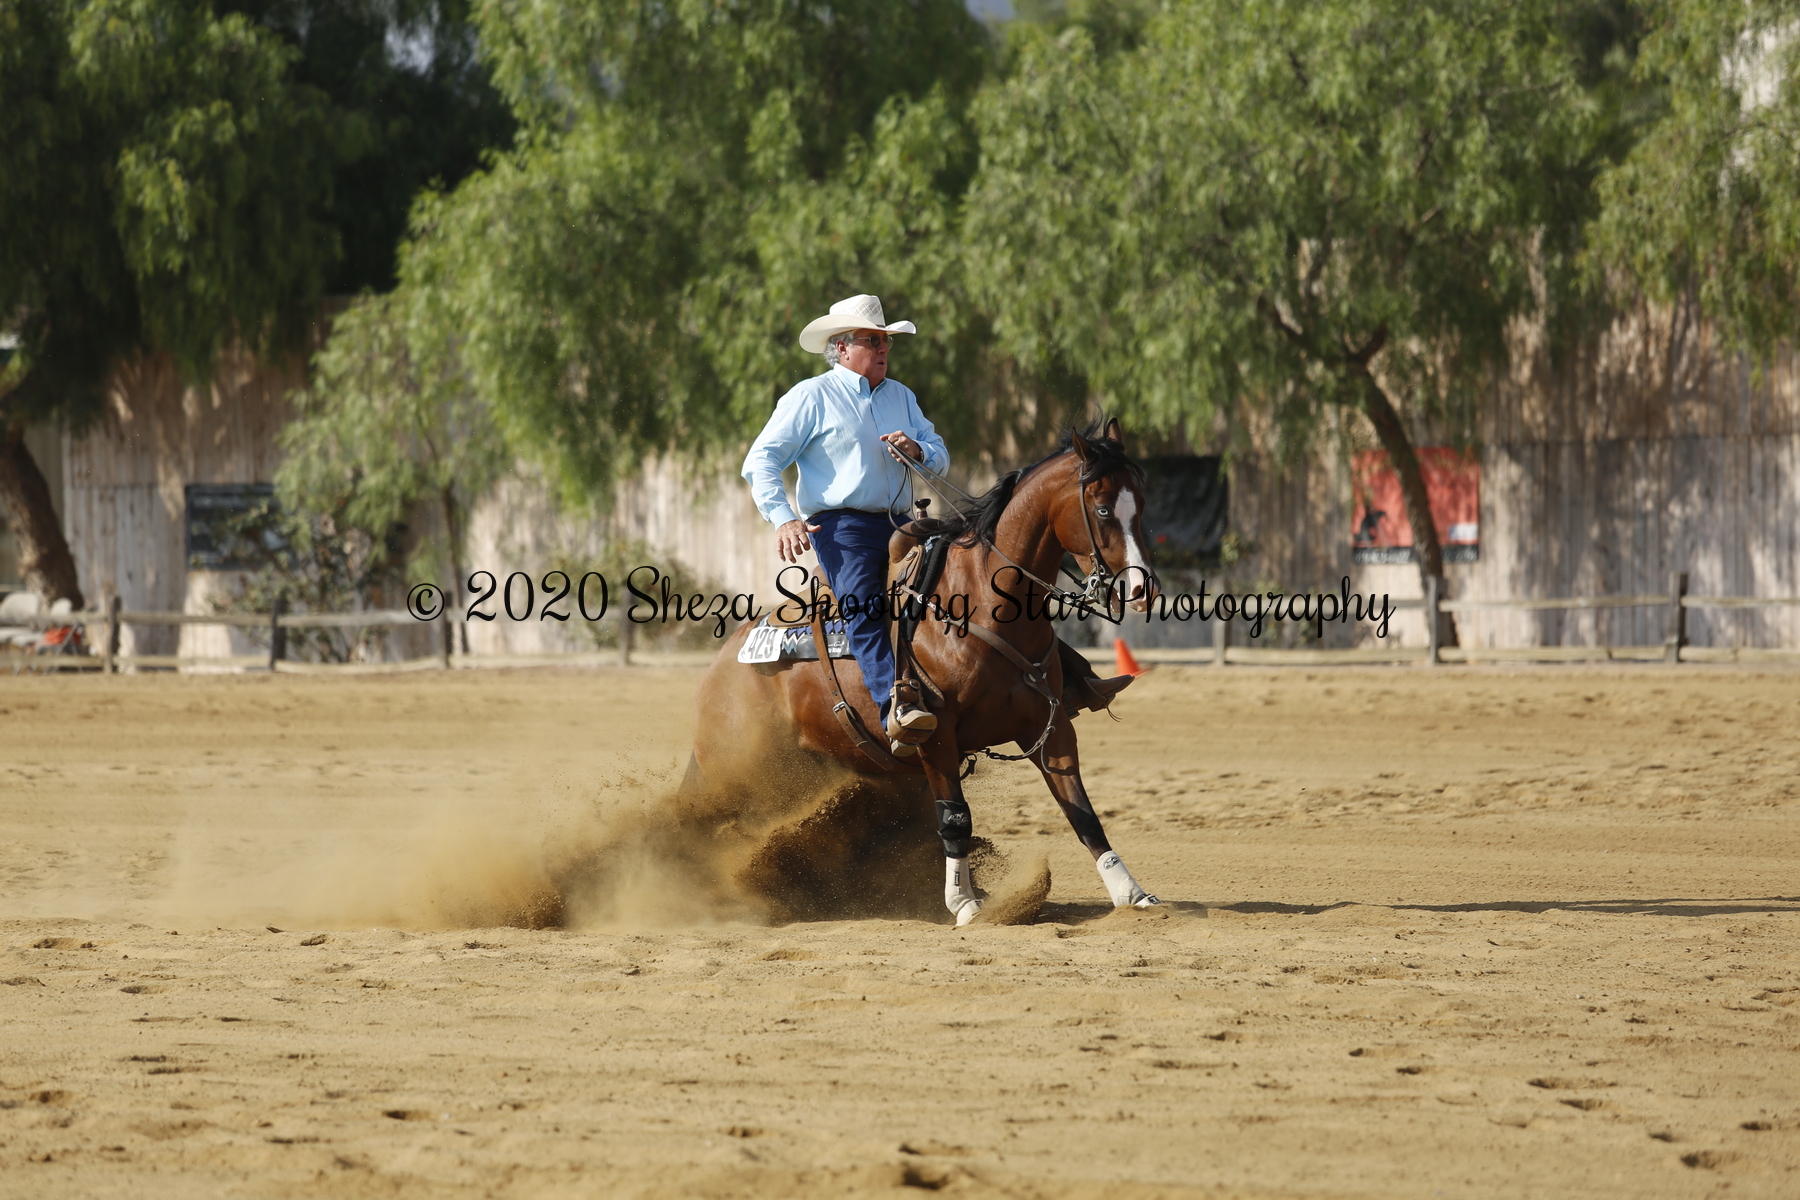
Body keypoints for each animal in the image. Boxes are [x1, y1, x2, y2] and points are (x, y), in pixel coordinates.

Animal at [688, 417, 1163, 925]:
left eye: (1140, 506)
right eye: (1102, 508)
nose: (1141, 589)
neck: (981, 603)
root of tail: (721, 668)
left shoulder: (1048, 728)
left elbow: (1082, 813)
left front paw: (1132, 893)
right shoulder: (937, 738)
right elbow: (955, 817)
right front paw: (964, 903)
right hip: (742, 779)